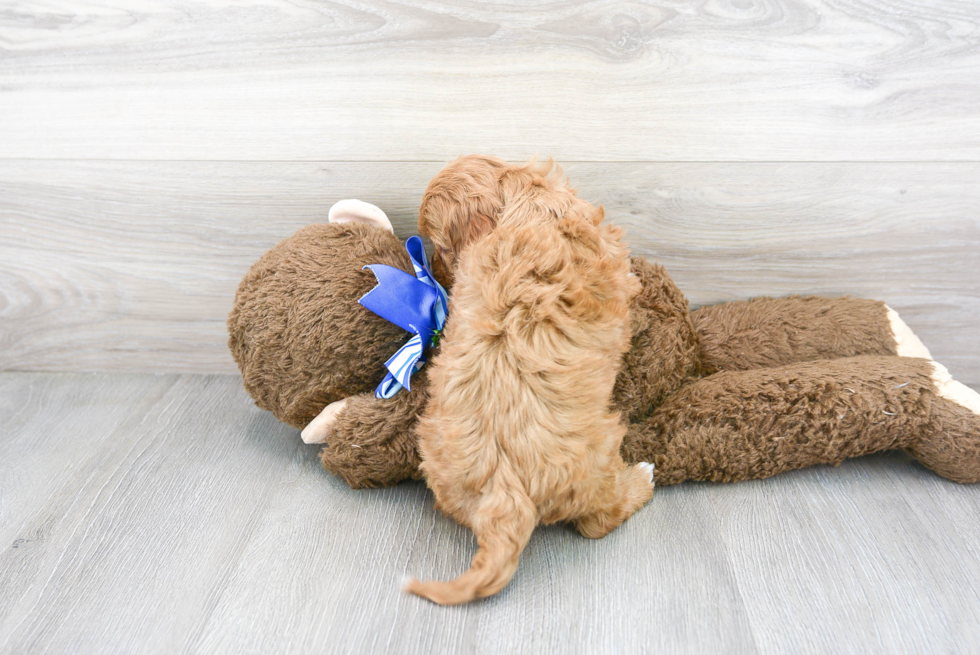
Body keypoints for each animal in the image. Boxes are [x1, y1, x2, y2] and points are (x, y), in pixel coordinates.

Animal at [402, 158, 656, 604]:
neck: (525, 202)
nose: (441, 275)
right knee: (598, 520)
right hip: (599, 458)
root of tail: (504, 489)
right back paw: (642, 477)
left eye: (442, 247)